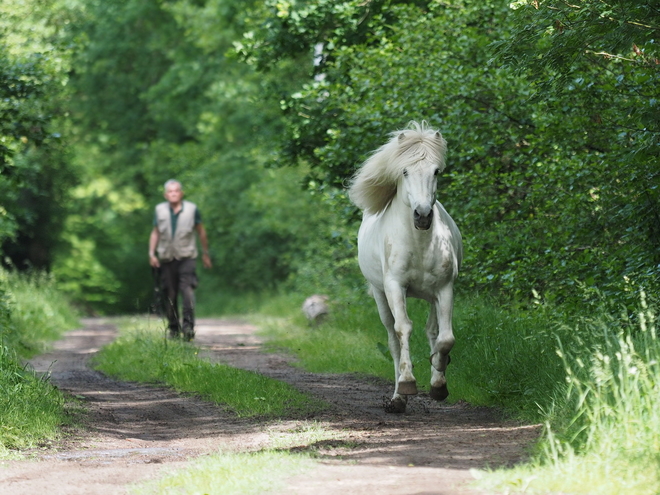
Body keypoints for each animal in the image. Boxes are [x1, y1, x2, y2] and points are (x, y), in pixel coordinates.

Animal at [348, 123, 462, 414]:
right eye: (405, 171)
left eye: (436, 171)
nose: (422, 216)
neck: (419, 243)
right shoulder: (394, 287)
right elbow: (403, 330)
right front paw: (408, 383)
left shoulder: (445, 288)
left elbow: (445, 338)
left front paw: (439, 383)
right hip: (380, 294)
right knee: (392, 338)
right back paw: (398, 396)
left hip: (431, 296)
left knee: (433, 331)